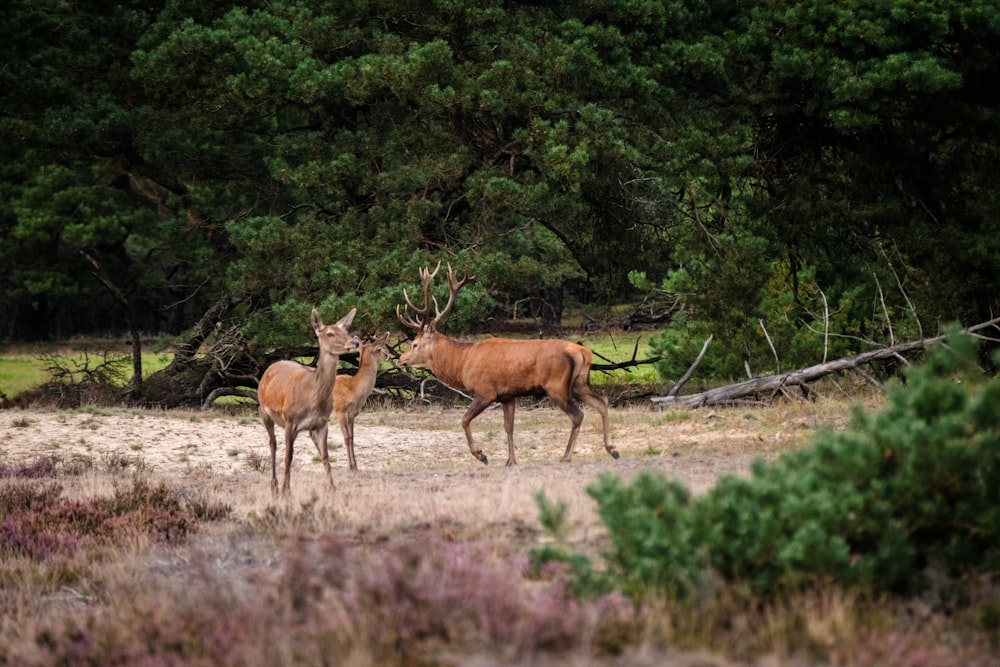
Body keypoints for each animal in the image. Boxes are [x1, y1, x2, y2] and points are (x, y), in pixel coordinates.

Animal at [258, 308, 360, 496]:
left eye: (346, 330)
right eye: (329, 333)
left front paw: (332, 488)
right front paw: (286, 490)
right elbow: (288, 456)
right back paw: (274, 485)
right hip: (264, 411)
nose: (355, 342)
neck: (313, 401)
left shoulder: (322, 423)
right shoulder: (290, 421)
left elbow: (325, 456)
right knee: (273, 444)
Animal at [330, 332, 388, 470]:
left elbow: (352, 437)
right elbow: (346, 438)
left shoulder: (352, 415)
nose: (387, 356)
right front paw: (350, 467)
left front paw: (355, 466)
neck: (354, 389)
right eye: (379, 349)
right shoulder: (340, 411)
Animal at [398, 264, 616, 468]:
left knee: (578, 415)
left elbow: (464, 419)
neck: (462, 363)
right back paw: (612, 449)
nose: (401, 359)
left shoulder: (485, 391)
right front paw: (511, 460)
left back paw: (567, 456)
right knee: (602, 402)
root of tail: (584, 352)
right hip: (579, 383)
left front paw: (481, 455)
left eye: (414, 344)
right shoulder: (507, 396)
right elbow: (508, 427)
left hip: (556, 385)